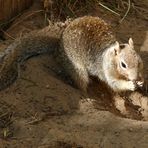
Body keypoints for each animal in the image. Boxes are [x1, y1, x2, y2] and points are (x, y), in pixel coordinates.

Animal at [0, 15, 144, 91]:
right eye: (123, 65)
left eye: (140, 62)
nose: (135, 78)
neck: (108, 54)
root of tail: (58, 44)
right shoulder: (106, 69)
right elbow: (114, 84)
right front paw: (130, 84)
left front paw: (141, 80)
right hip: (77, 68)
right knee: (81, 82)